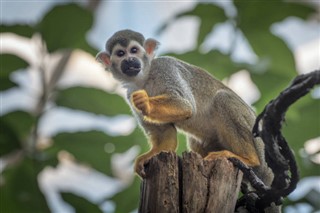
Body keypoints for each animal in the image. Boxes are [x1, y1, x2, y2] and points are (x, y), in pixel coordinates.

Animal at [97, 30, 272, 186]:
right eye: (120, 53)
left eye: (134, 50)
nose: (130, 59)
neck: (144, 78)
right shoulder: (130, 93)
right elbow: (164, 134)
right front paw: (150, 155)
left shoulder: (165, 68)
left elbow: (186, 105)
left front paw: (146, 102)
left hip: (259, 144)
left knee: (223, 99)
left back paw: (249, 159)